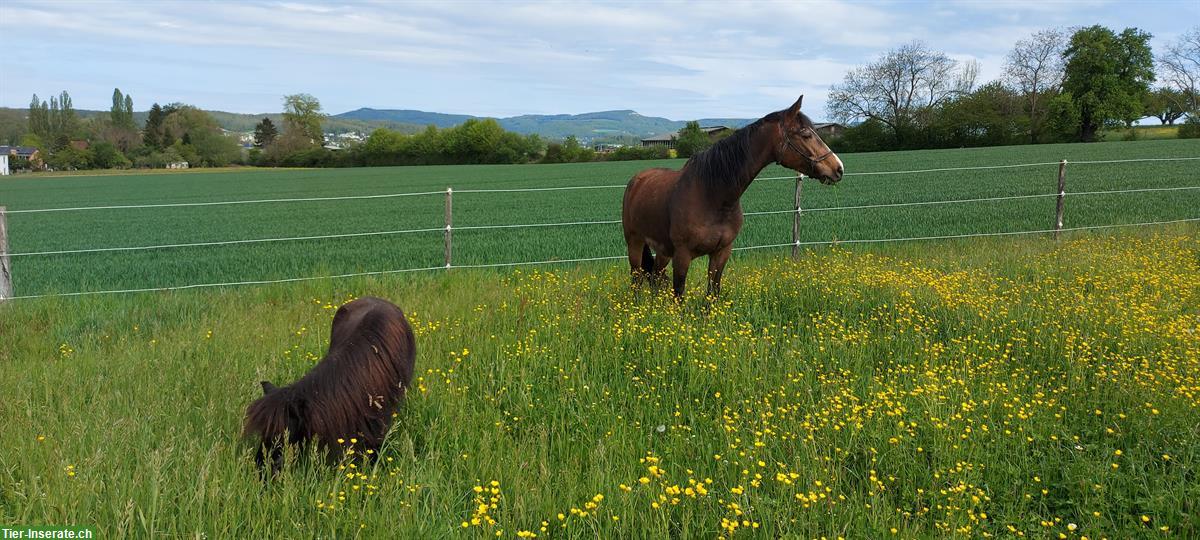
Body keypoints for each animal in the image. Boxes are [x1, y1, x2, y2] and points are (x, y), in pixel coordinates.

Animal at [624, 97, 840, 300]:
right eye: (805, 134)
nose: (838, 168)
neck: (713, 196)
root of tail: (637, 180)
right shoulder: (682, 255)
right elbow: (679, 294)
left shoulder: (721, 252)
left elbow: (712, 293)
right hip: (635, 243)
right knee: (637, 278)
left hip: (662, 249)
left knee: (655, 276)